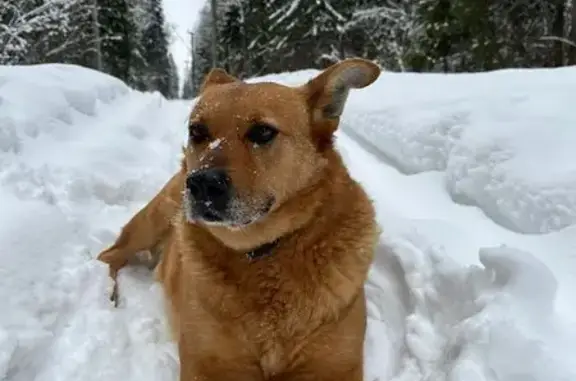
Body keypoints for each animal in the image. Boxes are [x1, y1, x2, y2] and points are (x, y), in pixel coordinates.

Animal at [97, 57, 380, 380]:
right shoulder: (209, 362)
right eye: (197, 131)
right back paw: (110, 294)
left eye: (263, 132)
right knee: (110, 255)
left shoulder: (335, 366)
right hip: (155, 218)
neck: (263, 252)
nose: (201, 184)